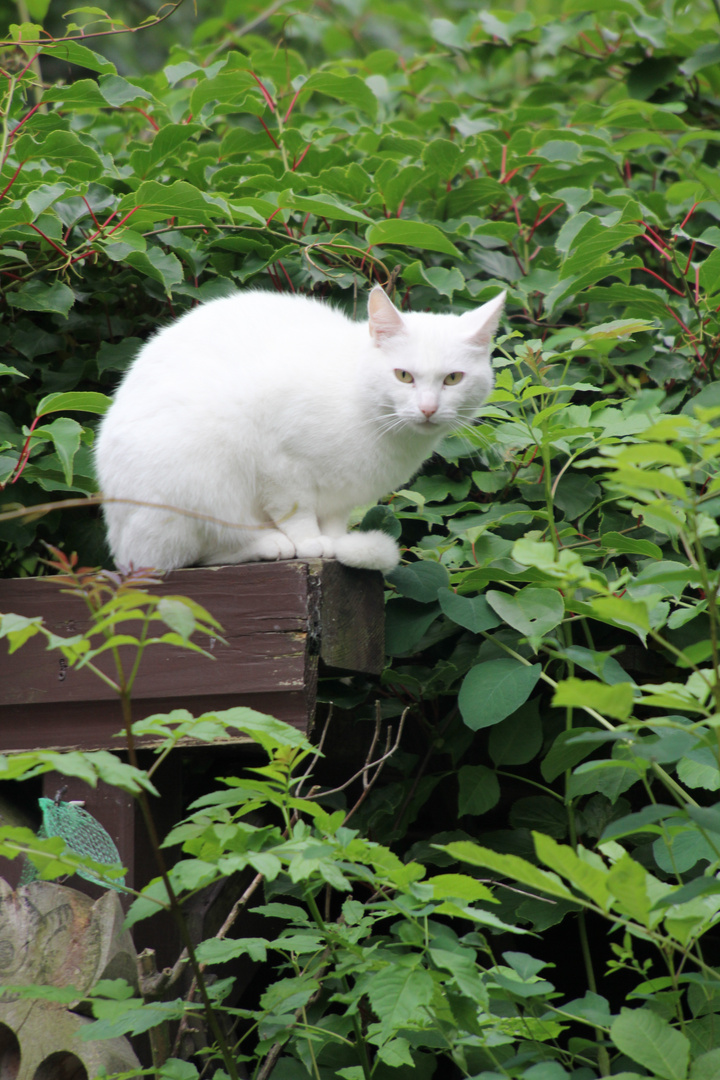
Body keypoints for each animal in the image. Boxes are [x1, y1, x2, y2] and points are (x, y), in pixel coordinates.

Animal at [94, 285, 500, 574]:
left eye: (453, 378)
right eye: (403, 375)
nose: (428, 409)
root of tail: (119, 546)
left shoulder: (341, 491)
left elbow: (333, 521)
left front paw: (334, 543)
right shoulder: (279, 464)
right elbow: (296, 511)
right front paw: (309, 542)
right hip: (192, 485)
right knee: (191, 555)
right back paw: (268, 544)